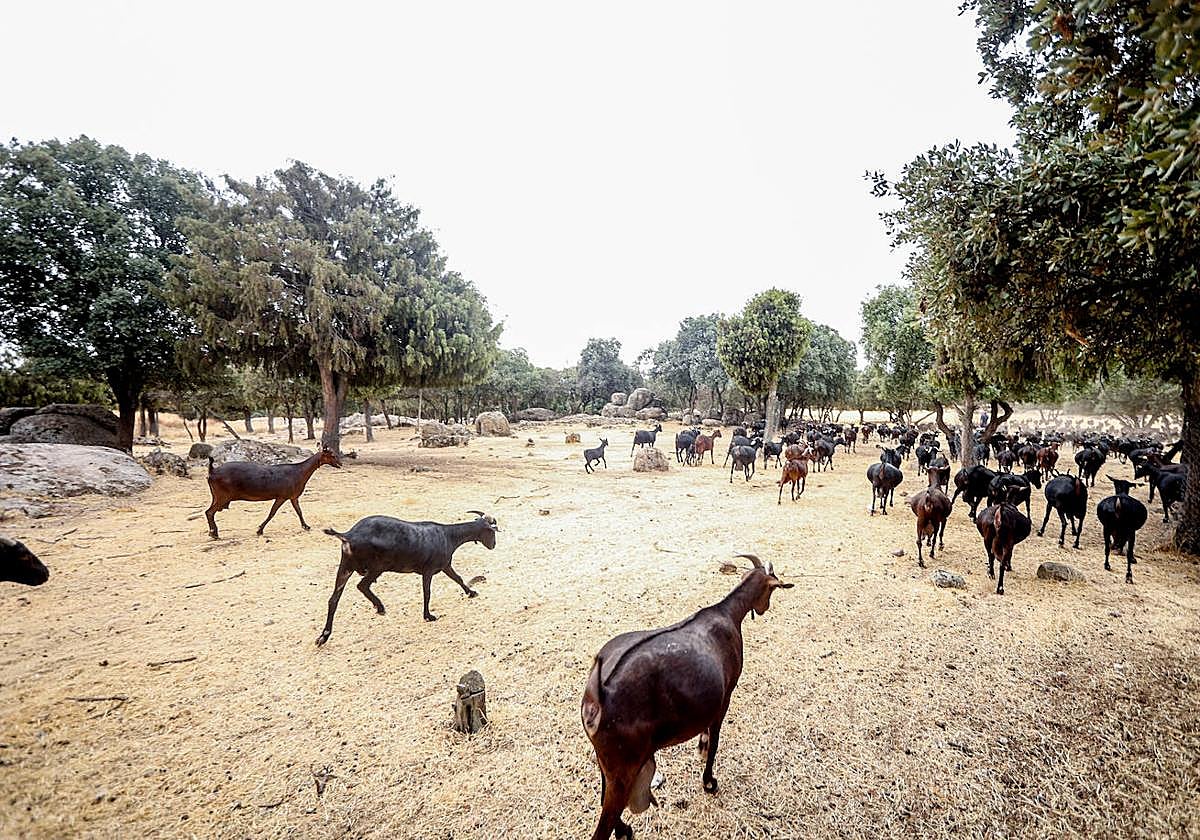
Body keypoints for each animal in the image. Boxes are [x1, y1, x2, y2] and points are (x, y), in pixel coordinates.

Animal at [205, 446, 341, 539]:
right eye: (332, 455)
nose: (340, 464)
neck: (299, 472)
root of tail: (212, 471)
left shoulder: (293, 497)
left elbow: (299, 511)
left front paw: (306, 526)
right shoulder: (282, 497)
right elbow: (272, 513)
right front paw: (259, 530)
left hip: (216, 496)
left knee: (209, 512)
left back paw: (213, 532)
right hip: (223, 496)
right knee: (209, 512)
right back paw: (214, 533)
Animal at [316, 511, 497, 644]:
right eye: (491, 532)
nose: (494, 545)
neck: (449, 536)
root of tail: (349, 535)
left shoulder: (445, 566)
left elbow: (458, 578)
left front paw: (471, 593)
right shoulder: (428, 570)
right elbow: (427, 593)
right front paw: (428, 616)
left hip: (346, 567)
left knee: (333, 600)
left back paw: (324, 636)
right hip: (377, 566)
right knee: (362, 585)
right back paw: (380, 607)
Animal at [581, 554, 792, 840]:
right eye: (771, 589)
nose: (763, 609)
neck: (726, 613)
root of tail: (598, 696)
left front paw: (701, 747)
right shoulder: (725, 697)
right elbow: (715, 742)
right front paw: (709, 782)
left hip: (605, 762)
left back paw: (625, 831)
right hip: (623, 767)